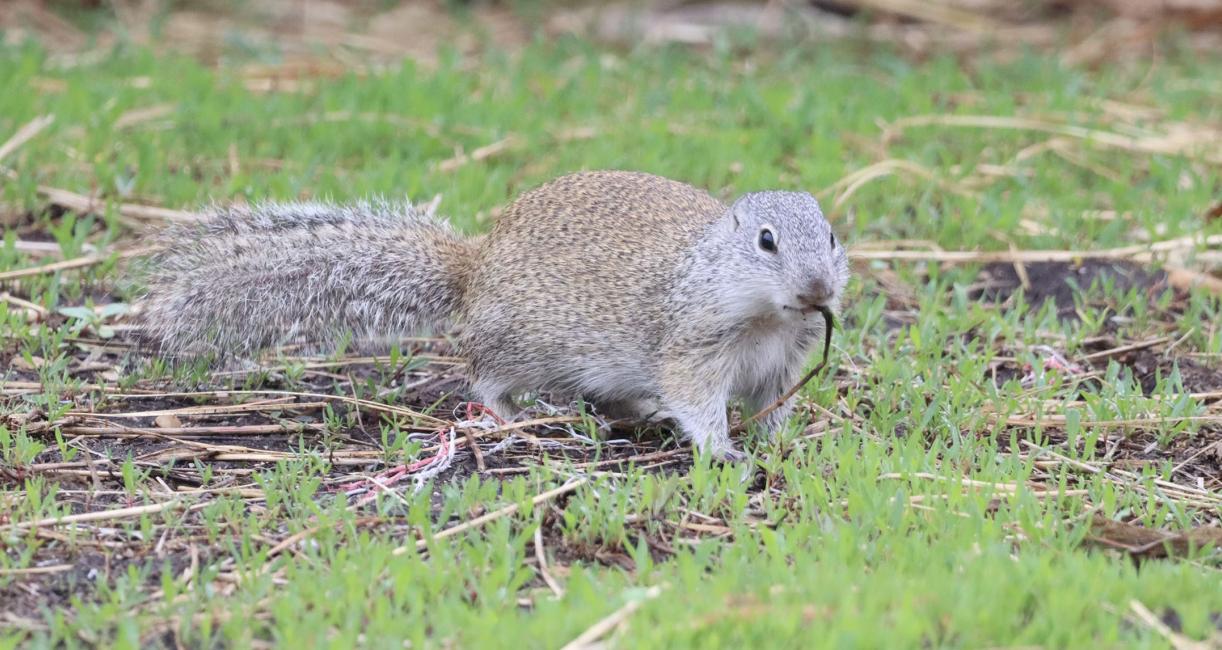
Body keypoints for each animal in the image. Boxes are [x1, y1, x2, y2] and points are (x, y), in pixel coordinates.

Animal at [140, 169, 850, 459]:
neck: (766, 317)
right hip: (519, 349)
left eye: (833, 236)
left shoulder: (781, 363)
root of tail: (475, 268)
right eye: (766, 241)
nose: (818, 287)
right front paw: (724, 450)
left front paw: (779, 439)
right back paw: (514, 418)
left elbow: (773, 404)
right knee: (484, 380)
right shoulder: (692, 347)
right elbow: (697, 402)